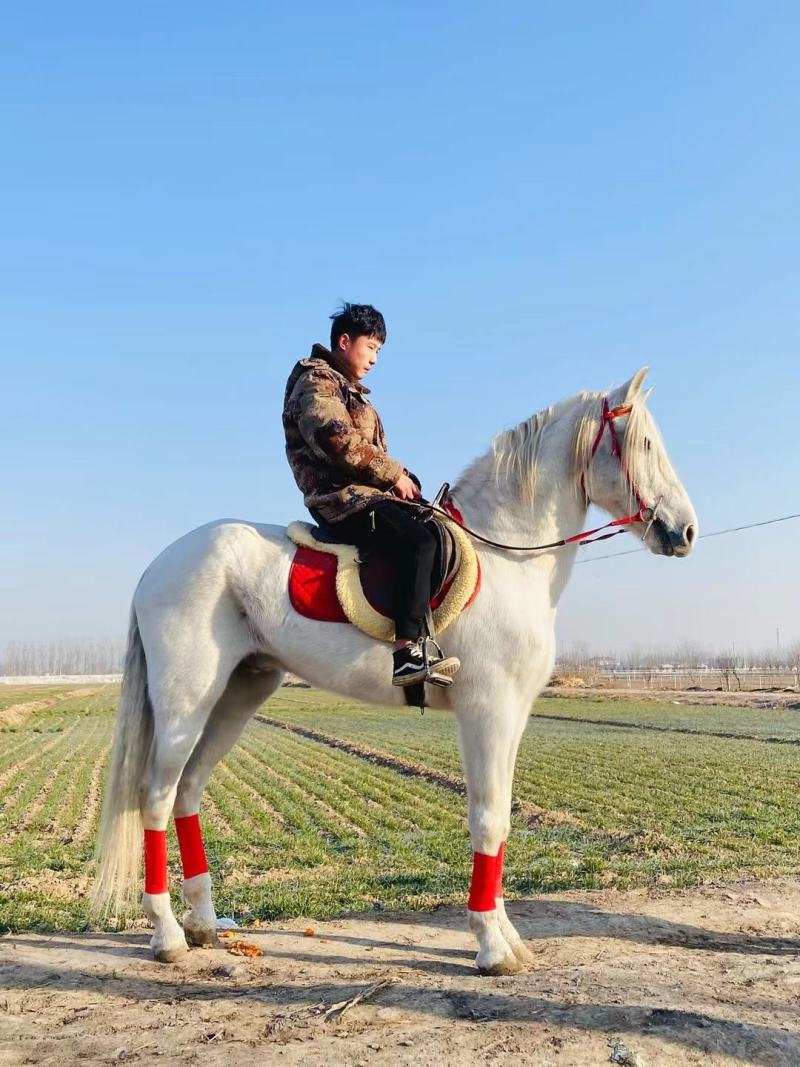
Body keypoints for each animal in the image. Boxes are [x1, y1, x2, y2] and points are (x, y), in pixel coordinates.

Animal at [91, 366, 697, 975]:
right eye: (645, 444)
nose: (685, 531)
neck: (509, 555)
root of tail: (157, 566)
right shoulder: (487, 710)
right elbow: (487, 819)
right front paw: (491, 945)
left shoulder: (512, 714)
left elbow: (501, 818)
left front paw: (508, 938)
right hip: (185, 703)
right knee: (156, 796)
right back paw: (167, 934)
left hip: (238, 693)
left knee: (188, 791)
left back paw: (204, 924)